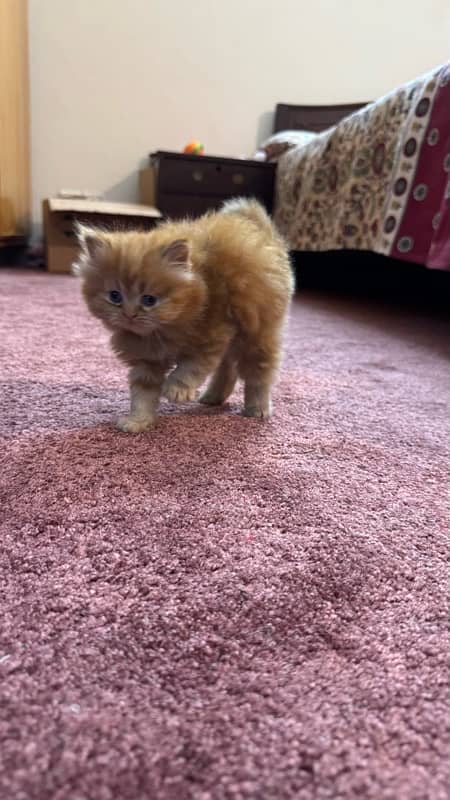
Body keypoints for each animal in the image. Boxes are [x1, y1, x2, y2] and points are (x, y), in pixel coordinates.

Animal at [73, 198, 294, 434]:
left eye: (149, 300)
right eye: (115, 296)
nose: (129, 314)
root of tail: (259, 227)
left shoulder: (213, 334)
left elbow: (190, 368)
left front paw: (175, 390)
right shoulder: (147, 358)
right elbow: (143, 393)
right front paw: (138, 421)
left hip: (257, 331)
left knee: (259, 373)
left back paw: (257, 409)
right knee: (227, 367)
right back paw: (213, 397)